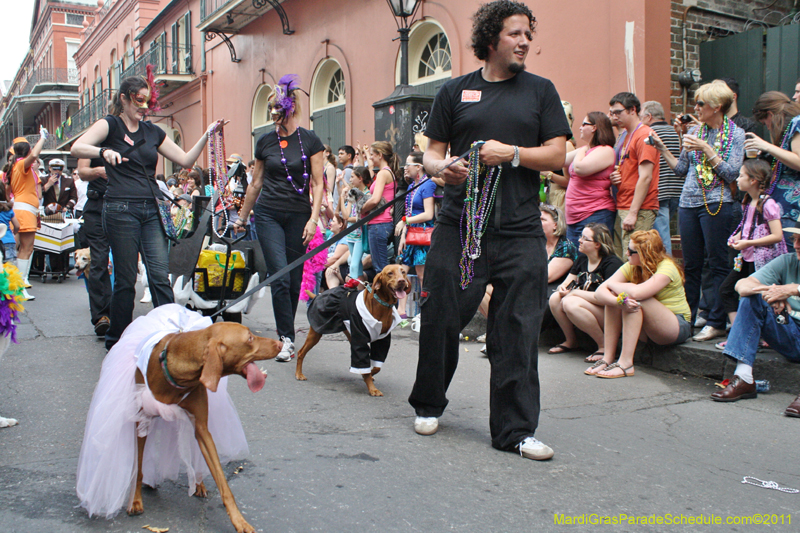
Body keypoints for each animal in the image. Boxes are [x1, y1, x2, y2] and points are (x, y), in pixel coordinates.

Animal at [131, 320, 282, 532]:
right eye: (250, 338)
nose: (280, 343)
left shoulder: (202, 428)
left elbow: (222, 482)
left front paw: (239, 520)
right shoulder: (140, 420)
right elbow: (138, 466)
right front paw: (135, 500)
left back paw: (199, 483)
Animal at [296, 264, 410, 394]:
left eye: (403, 272)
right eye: (390, 273)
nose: (402, 281)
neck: (381, 306)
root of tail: (319, 295)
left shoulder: (381, 340)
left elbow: (376, 367)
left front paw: (369, 375)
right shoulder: (360, 339)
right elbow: (364, 364)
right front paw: (372, 388)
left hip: (350, 335)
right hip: (316, 333)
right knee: (301, 352)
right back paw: (299, 374)